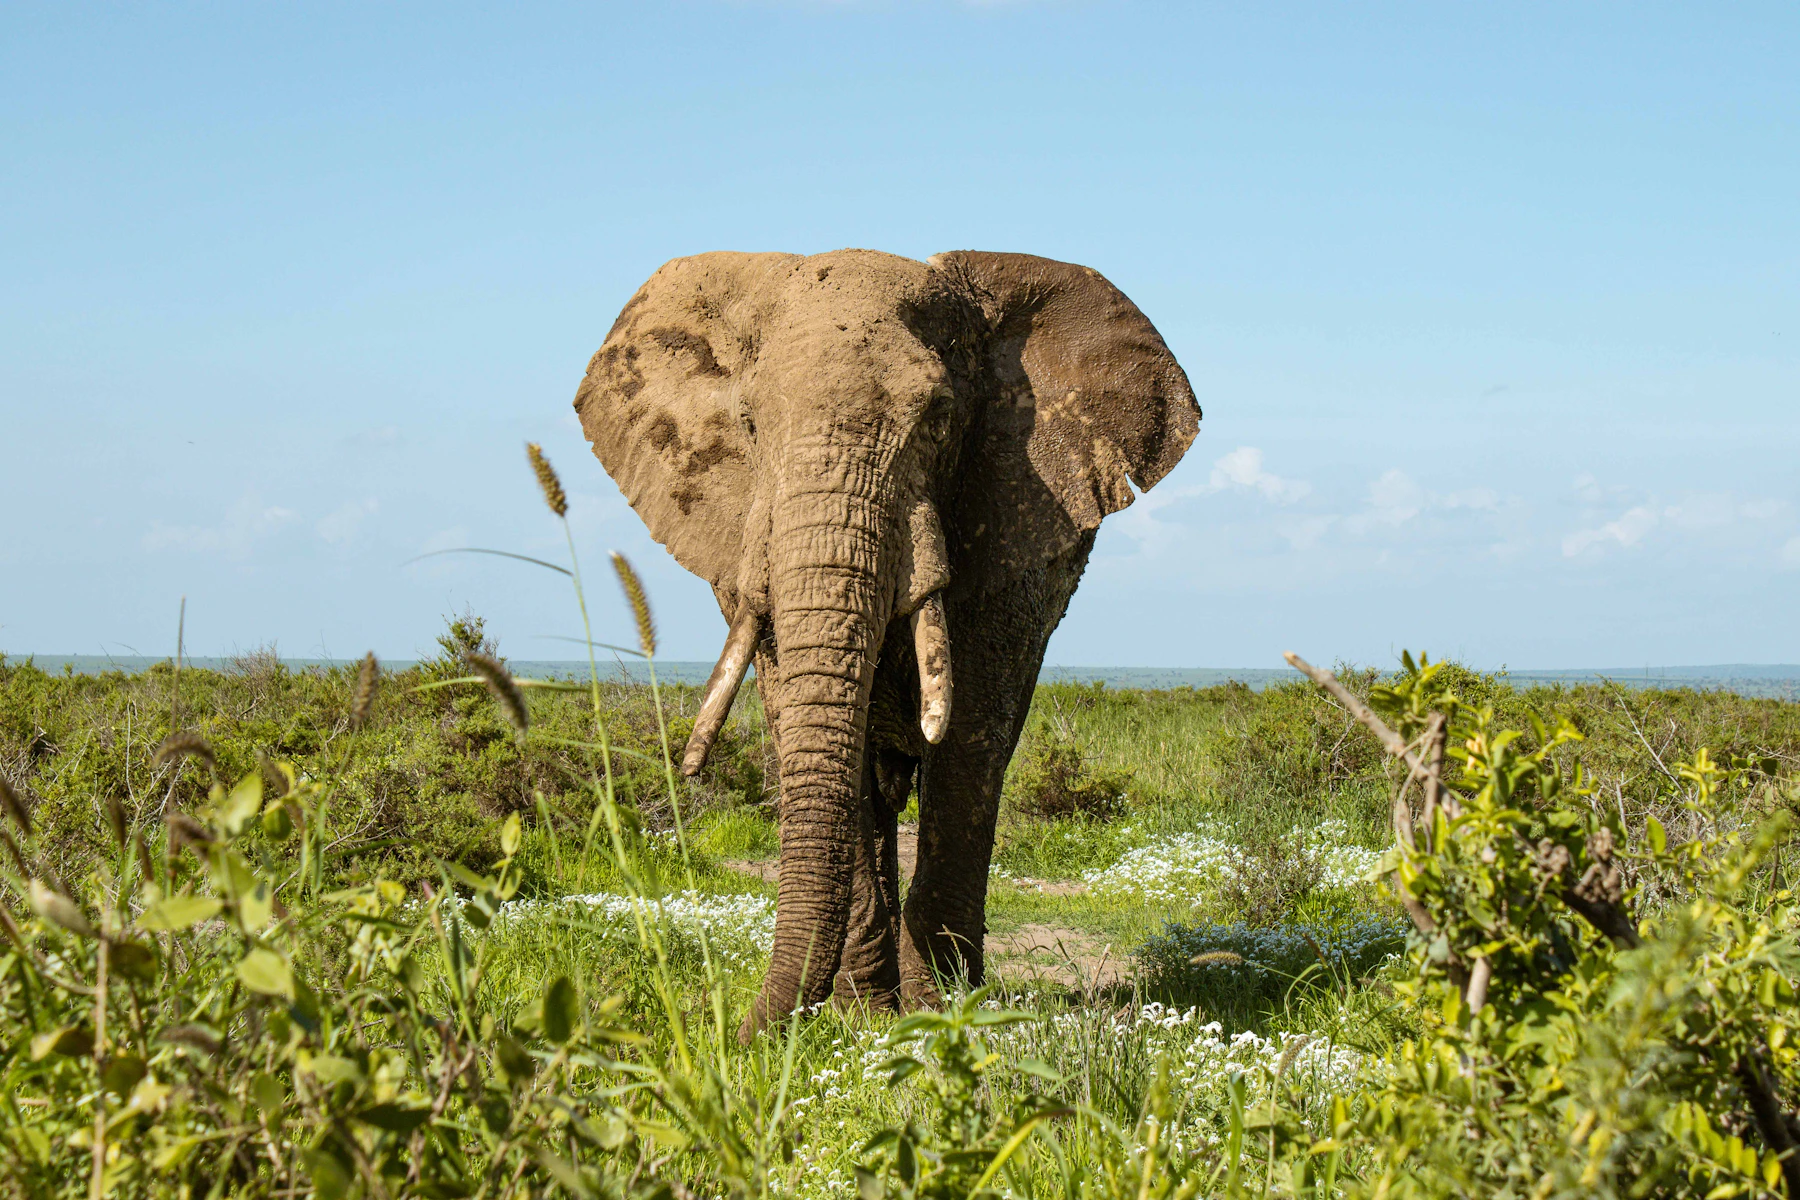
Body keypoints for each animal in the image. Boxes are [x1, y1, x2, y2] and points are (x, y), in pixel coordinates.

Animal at [573, 249, 1199, 1037]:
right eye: (749, 424)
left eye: (938, 418)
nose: (740, 1035)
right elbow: (807, 722)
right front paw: (862, 1018)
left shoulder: (1013, 526)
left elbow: (968, 744)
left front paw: (942, 1012)